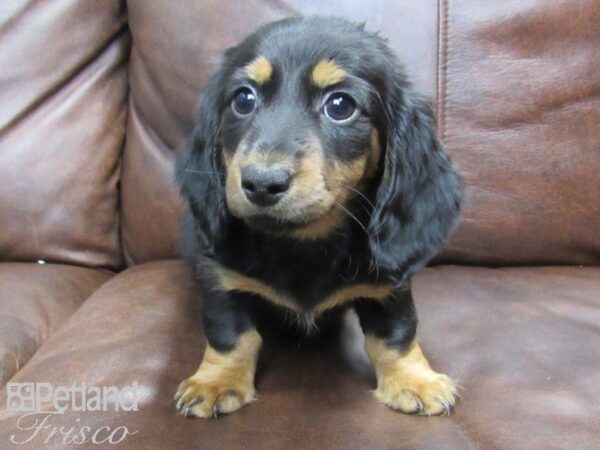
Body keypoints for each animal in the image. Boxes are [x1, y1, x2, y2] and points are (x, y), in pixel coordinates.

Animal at [173, 16, 464, 418]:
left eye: (340, 105)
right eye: (243, 99)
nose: (261, 183)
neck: (303, 242)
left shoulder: (389, 284)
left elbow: (396, 334)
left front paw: (413, 380)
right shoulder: (221, 277)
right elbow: (231, 334)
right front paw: (216, 382)